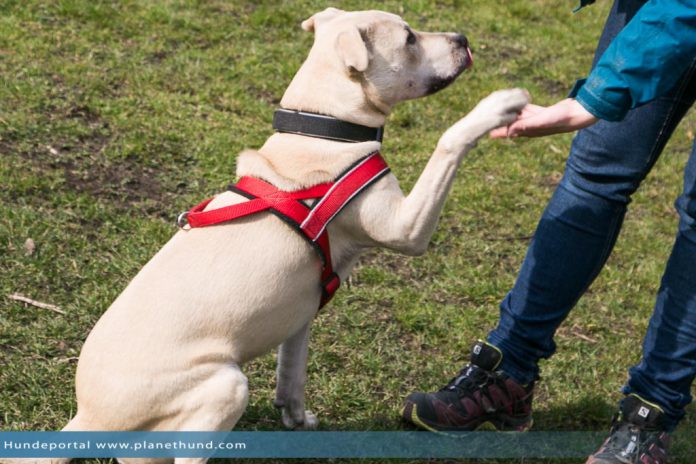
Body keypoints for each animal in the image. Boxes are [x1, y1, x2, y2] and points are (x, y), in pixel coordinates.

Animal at [6, 7, 528, 464]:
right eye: (409, 38)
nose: (463, 38)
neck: (321, 130)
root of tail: (88, 418)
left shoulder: (300, 313)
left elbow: (290, 375)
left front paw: (298, 421)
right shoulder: (405, 229)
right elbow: (448, 141)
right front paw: (496, 108)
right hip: (227, 384)